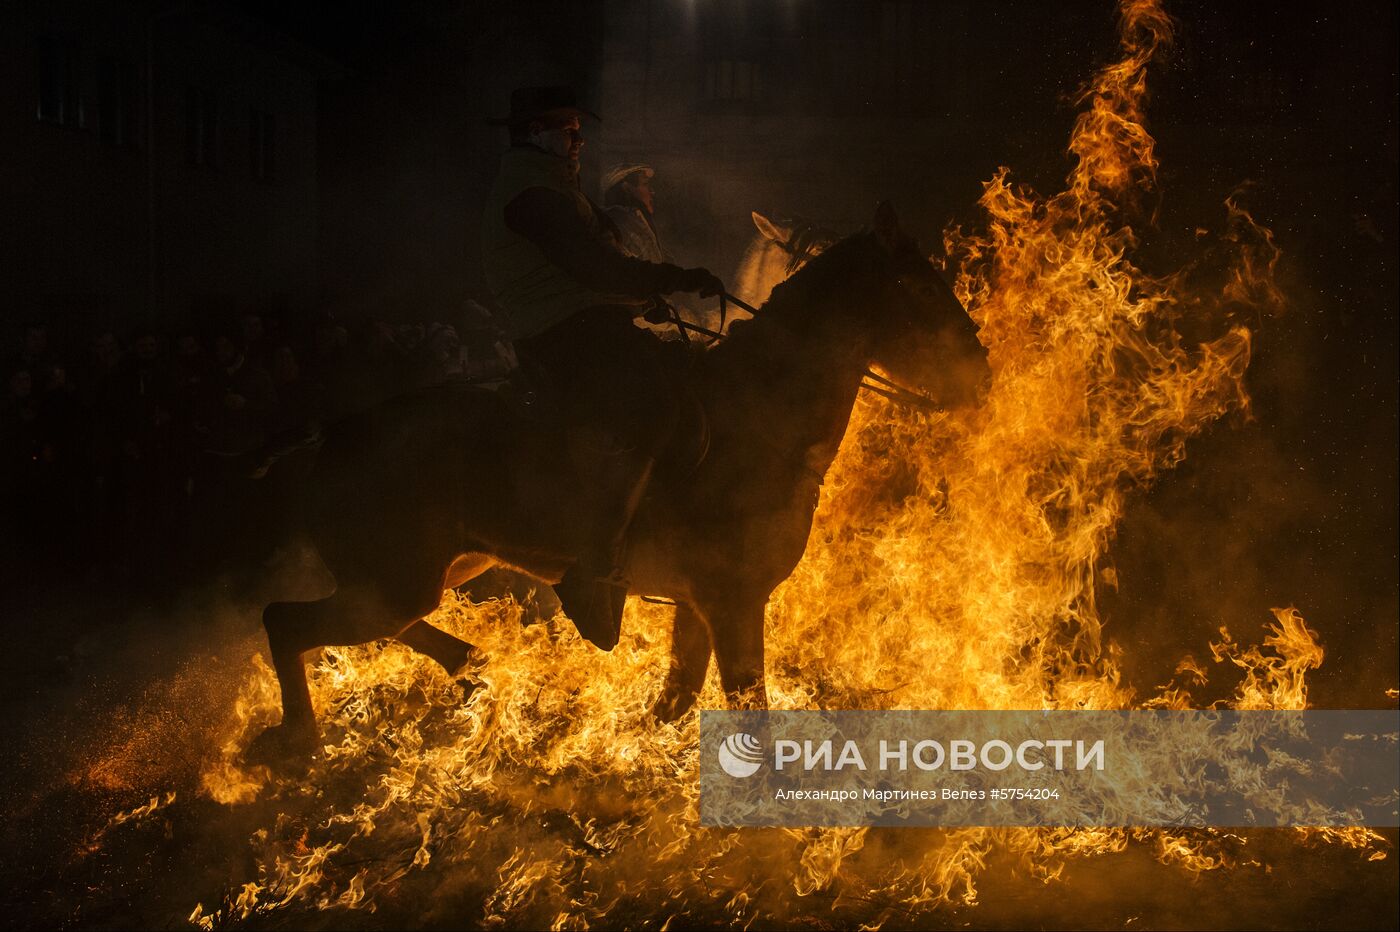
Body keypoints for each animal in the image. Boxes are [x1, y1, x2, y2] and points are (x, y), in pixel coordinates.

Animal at [254, 202, 996, 755]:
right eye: (920, 287)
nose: (981, 376)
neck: (758, 414)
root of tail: (326, 440)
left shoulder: (701, 606)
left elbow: (677, 698)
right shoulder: (733, 600)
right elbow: (744, 708)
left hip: (443, 569)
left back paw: (469, 669)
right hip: (393, 586)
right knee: (284, 622)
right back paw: (300, 736)